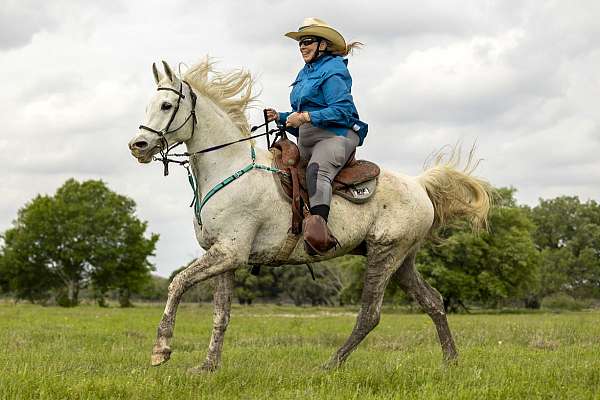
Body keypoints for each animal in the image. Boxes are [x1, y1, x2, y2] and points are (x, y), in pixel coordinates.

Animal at [126, 58, 492, 372]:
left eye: (166, 105)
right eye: (148, 105)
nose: (138, 146)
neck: (229, 168)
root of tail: (418, 184)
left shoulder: (229, 252)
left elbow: (177, 283)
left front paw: (161, 350)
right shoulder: (225, 258)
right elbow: (221, 314)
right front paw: (207, 367)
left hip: (384, 255)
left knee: (370, 315)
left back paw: (331, 364)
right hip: (403, 261)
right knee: (433, 302)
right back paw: (451, 361)